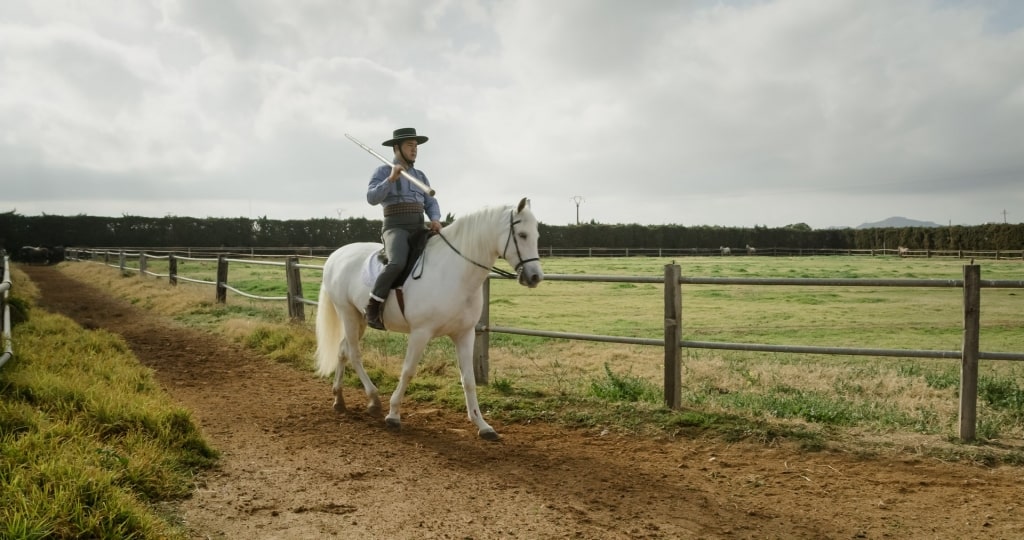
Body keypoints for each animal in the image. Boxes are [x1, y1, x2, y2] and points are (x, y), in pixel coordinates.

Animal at [315, 197, 544, 438]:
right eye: (522, 235)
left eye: (536, 235)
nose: (535, 277)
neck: (454, 272)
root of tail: (335, 256)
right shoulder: (420, 333)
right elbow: (408, 371)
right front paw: (393, 415)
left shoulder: (464, 334)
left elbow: (468, 380)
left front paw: (482, 425)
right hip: (347, 313)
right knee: (354, 354)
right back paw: (373, 399)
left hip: (359, 319)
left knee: (342, 350)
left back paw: (339, 399)